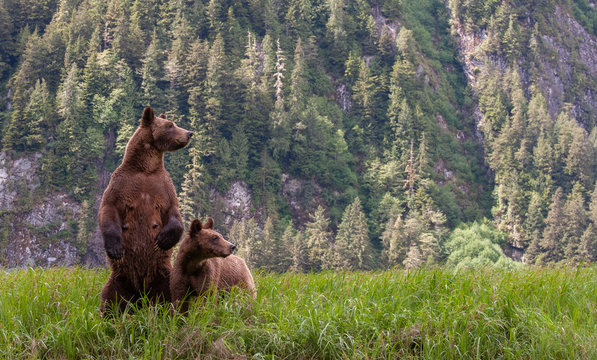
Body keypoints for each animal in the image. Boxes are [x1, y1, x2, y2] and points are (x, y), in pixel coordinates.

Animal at [98, 106, 191, 312]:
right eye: (170, 125)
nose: (189, 133)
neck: (146, 168)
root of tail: (141, 295)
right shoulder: (121, 185)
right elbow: (108, 210)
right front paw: (115, 248)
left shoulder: (163, 187)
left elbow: (174, 212)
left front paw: (163, 239)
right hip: (118, 280)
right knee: (110, 299)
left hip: (164, 276)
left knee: (169, 296)